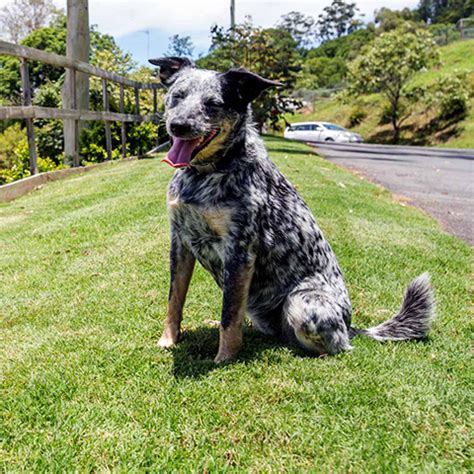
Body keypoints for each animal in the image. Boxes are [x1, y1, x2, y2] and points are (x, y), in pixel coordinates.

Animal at [150, 57, 436, 364]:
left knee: (339, 346)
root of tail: (351, 326)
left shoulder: (239, 250)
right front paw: (168, 341)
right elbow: (174, 300)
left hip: (301, 302)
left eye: (213, 103)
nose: (178, 125)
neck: (205, 174)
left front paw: (224, 358)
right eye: (177, 96)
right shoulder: (180, 242)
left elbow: (229, 313)